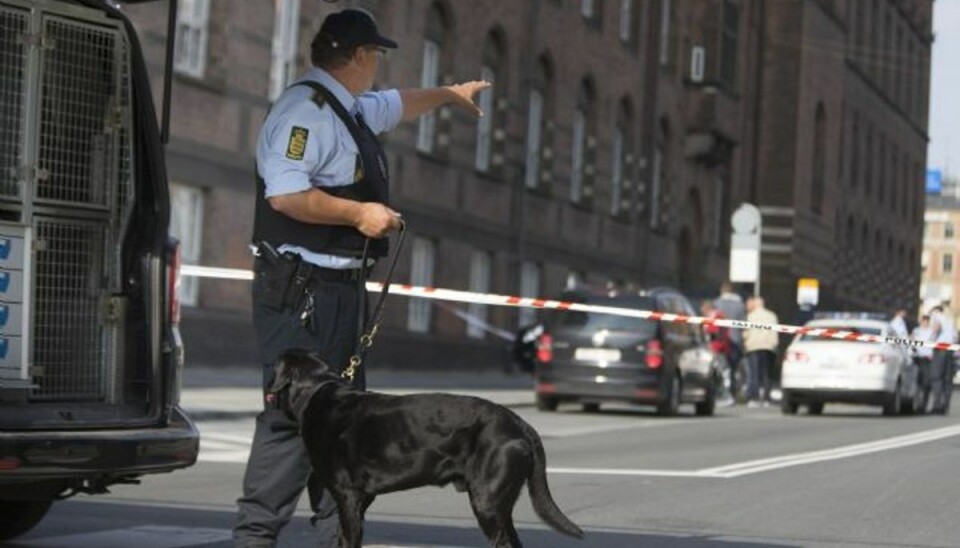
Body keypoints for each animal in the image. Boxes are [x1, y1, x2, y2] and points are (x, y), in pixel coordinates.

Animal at [270, 348, 584, 544]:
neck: (317, 393)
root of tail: (520, 424)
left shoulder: (348, 498)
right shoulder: (360, 502)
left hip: (487, 502)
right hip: (498, 506)